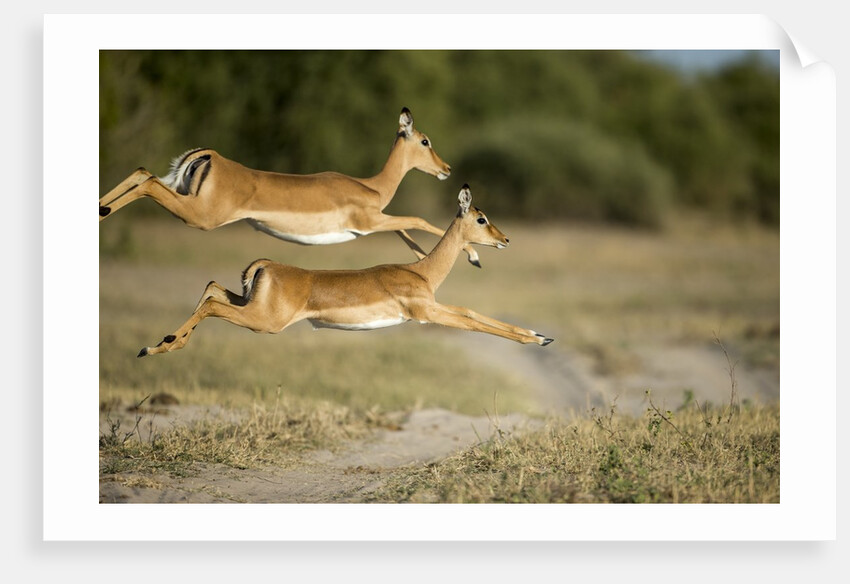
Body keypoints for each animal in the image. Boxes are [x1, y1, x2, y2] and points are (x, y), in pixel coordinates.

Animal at [99, 107, 483, 266]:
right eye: (425, 141)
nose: (447, 169)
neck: (371, 186)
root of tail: (211, 156)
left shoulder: (374, 222)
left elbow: (405, 229)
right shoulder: (369, 222)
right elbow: (416, 220)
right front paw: (474, 254)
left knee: (140, 170)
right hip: (199, 217)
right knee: (147, 179)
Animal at [137, 185, 553, 358]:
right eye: (481, 218)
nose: (505, 239)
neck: (421, 272)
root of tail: (267, 266)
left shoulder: (432, 307)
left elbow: (470, 311)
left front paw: (542, 335)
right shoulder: (425, 313)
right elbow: (470, 320)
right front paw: (538, 339)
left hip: (249, 304)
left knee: (210, 287)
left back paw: (159, 343)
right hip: (265, 322)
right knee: (211, 304)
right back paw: (155, 347)